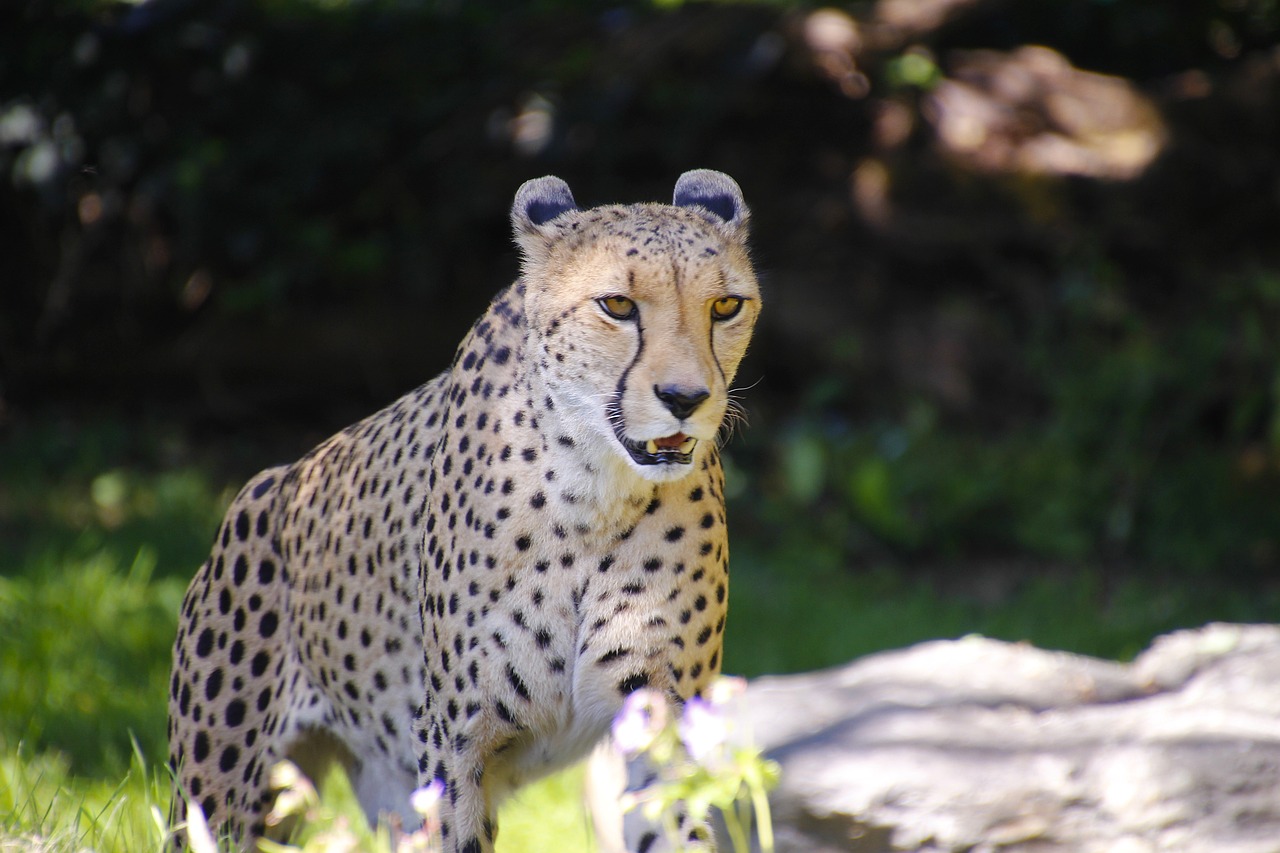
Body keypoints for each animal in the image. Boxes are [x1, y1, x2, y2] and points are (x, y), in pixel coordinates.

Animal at [166, 169, 761, 853]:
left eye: (725, 307)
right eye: (617, 305)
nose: (686, 398)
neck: (593, 496)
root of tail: (267, 485)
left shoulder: (658, 724)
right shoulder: (455, 744)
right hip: (221, 803)